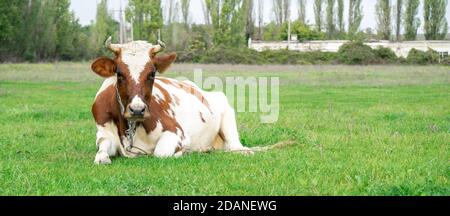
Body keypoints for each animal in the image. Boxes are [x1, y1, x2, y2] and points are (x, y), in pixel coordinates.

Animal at [89, 38, 251, 165]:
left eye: (152, 74)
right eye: (119, 74)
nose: (137, 110)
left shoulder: (177, 132)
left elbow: (161, 152)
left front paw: (185, 152)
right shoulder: (103, 132)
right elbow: (101, 148)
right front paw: (102, 158)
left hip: (228, 115)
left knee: (236, 146)